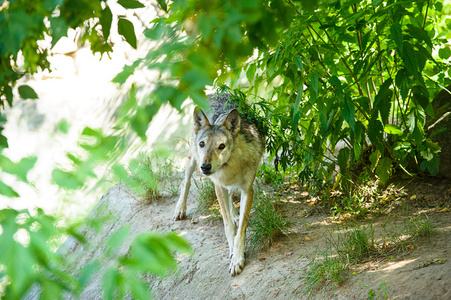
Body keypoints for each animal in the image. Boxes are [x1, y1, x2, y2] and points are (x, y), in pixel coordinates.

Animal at [173, 92, 264, 276]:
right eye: (202, 144)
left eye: (221, 146)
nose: (205, 167)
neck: (231, 165)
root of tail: (216, 93)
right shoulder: (218, 186)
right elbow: (227, 226)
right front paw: (233, 252)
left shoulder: (247, 191)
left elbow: (241, 229)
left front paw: (237, 258)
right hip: (192, 160)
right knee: (186, 181)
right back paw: (180, 209)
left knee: (230, 200)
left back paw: (235, 215)